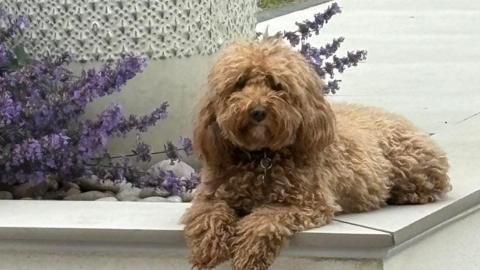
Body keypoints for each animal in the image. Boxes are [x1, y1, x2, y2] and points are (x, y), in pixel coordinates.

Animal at [182, 38, 452, 270]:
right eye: (239, 83)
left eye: (276, 84)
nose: (257, 111)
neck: (262, 157)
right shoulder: (210, 195)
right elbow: (209, 215)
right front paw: (207, 249)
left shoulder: (308, 202)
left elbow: (265, 219)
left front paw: (248, 253)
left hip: (410, 164)